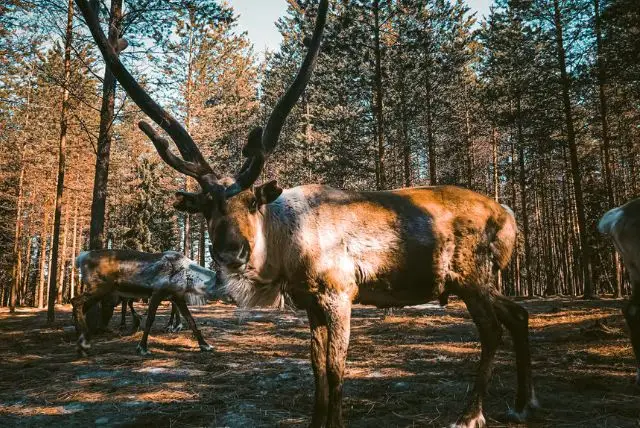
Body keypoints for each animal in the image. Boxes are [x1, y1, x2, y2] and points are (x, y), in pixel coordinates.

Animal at [72, 249, 220, 356]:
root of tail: (81, 257)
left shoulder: (177, 297)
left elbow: (191, 320)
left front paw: (205, 345)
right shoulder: (157, 293)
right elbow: (149, 320)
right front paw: (142, 347)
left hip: (100, 291)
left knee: (80, 306)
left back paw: (82, 344)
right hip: (100, 287)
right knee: (76, 301)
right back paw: (83, 342)